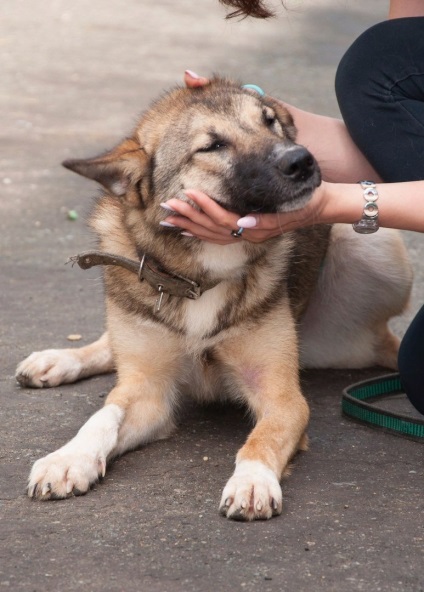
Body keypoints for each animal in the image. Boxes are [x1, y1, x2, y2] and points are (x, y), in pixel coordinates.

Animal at [15, 77, 410, 520]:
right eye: (213, 146)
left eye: (269, 121)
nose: (303, 160)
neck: (201, 278)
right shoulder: (148, 393)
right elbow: (102, 417)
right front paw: (69, 458)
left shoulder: (283, 398)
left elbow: (261, 439)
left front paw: (252, 480)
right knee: (110, 348)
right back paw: (58, 360)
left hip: (374, 248)